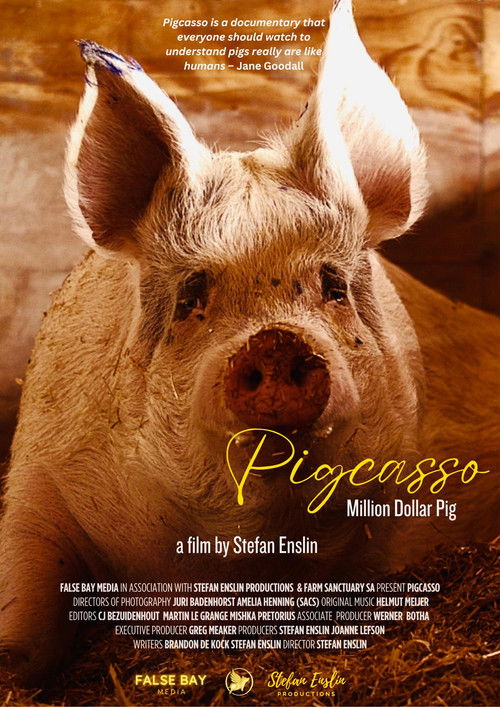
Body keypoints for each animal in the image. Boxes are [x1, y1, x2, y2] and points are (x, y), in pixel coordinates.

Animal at [0, 0, 498, 685]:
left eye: (333, 287)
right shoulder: (37, 469)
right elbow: (24, 613)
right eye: (191, 296)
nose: (274, 342)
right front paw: (14, 664)